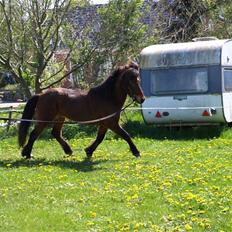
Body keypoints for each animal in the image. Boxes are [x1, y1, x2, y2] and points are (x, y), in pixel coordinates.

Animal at [17, 62, 145, 160]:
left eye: (138, 80)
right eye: (131, 81)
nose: (142, 99)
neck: (107, 97)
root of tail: (41, 95)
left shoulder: (105, 124)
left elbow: (100, 138)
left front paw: (89, 151)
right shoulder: (112, 123)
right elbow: (126, 135)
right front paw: (136, 152)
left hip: (59, 118)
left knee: (55, 133)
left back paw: (68, 150)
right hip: (44, 119)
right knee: (34, 134)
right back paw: (28, 154)